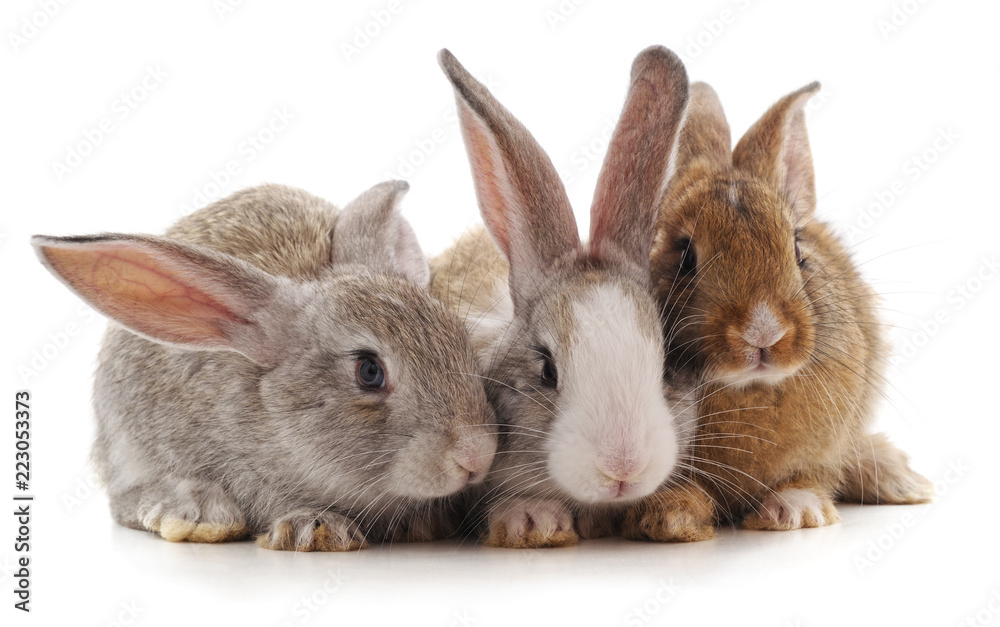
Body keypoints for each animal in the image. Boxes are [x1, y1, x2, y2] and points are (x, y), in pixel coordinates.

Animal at [622, 81, 934, 542]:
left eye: (798, 249)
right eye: (684, 257)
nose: (763, 332)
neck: (748, 390)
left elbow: (804, 477)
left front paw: (797, 512)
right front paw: (671, 518)